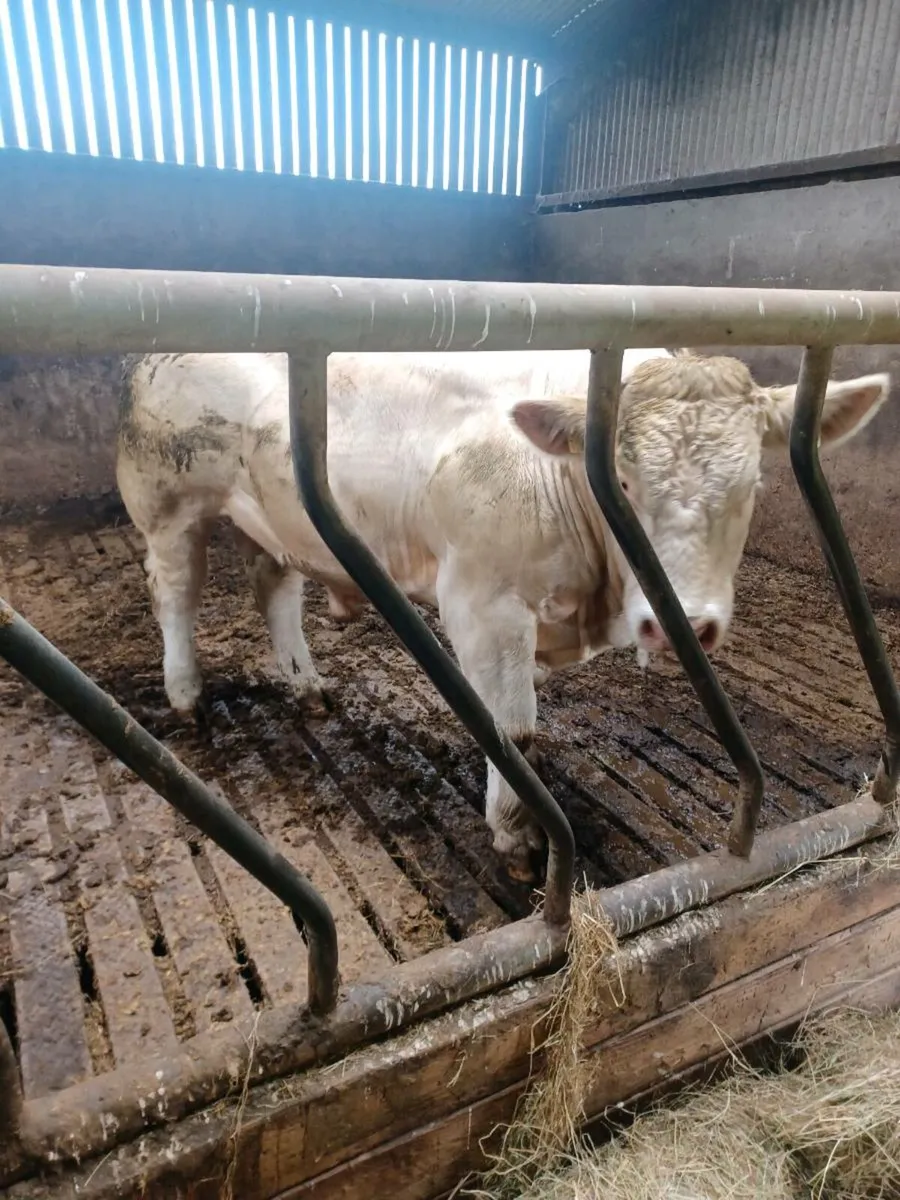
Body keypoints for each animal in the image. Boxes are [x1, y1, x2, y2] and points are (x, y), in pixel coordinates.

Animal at [116, 348, 890, 881]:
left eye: (754, 485)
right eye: (623, 482)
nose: (686, 624)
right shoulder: (481, 602)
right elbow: (512, 728)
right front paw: (517, 834)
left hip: (279, 519)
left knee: (273, 587)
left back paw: (305, 685)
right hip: (168, 504)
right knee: (177, 591)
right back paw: (185, 694)